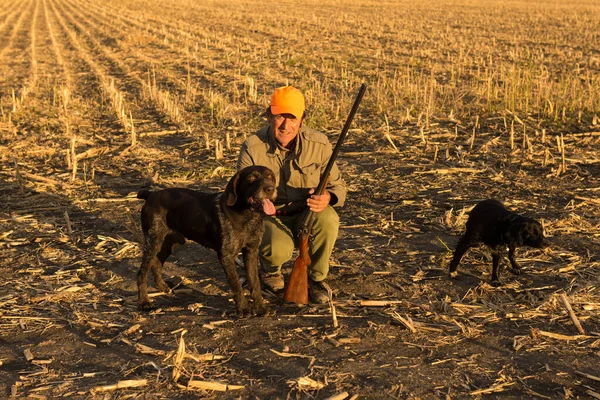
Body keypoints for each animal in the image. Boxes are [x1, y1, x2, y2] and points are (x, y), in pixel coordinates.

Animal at [136, 166, 276, 316]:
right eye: (251, 178)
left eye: (270, 177)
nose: (270, 189)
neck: (247, 215)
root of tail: (151, 194)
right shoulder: (226, 256)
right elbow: (236, 285)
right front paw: (243, 309)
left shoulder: (251, 252)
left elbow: (255, 283)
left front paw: (260, 308)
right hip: (153, 241)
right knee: (142, 273)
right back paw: (144, 302)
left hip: (172, 241)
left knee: (156, 263)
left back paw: (162, 286)